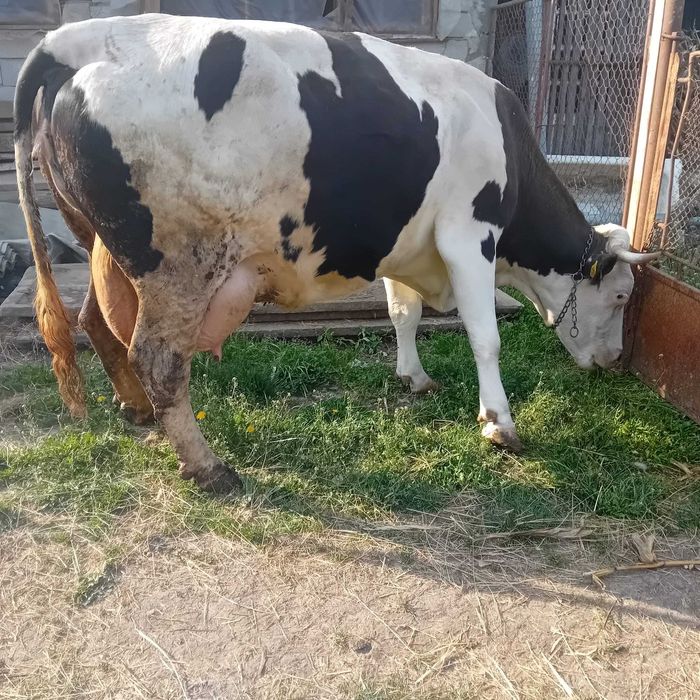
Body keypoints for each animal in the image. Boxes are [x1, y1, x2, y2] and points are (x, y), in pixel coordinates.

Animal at [14, 14, 658, 493]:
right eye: (621, 296)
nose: (613, 360)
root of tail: (75, 40)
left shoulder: (406, 242)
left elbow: (403, 314)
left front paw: (414, 376)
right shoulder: (467, 232)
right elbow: (484, 335)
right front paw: (498, 424)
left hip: (107, 246)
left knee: (96, 320)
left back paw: (135, 409)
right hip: (178, 261)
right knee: (158, 356)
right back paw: (209, 468)